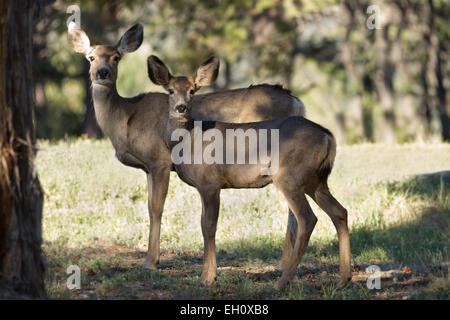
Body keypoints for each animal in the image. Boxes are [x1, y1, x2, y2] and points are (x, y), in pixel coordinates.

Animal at [67, 23, 306, 272]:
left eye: (116, 57)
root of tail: (297, 102)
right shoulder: (148, 167)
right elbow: (148, 207)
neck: (126, 118)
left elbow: (156, 207)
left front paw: (151, 261)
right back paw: (284, 262)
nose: (102, 73)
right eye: (91, 57)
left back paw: (285, 262)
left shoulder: (160, 160)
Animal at [149, 56, 354, 288]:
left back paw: (282, 281)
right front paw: (205, 276)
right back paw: (343, 279)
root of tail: (328, 135)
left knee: (307, 218)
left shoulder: (210, 182)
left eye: (193, 90)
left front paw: (209, 277)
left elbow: (208, 226)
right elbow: (203, 224)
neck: (189, 140)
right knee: (340, 212)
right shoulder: (205, 185)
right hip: (316, 180)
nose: (181, 107)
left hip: (290, 177)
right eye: (171, 90)